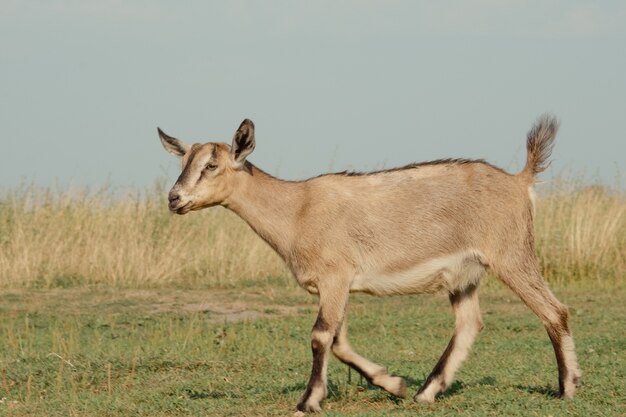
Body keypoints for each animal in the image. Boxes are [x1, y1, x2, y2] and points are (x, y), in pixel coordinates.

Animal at [158, 114, 576, 412]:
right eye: (184, 162)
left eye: (211, 165)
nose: (174, 199)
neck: (296, 209)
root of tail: (520, 181)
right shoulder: (337, 284)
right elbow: (339, 341)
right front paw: (393, 384)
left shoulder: (335, 276)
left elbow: (320, 336)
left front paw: (308, 401)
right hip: (465, 276)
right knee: (470, 323)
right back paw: (425, 392)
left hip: (512, 253)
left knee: (554, 311)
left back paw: (568, 388)